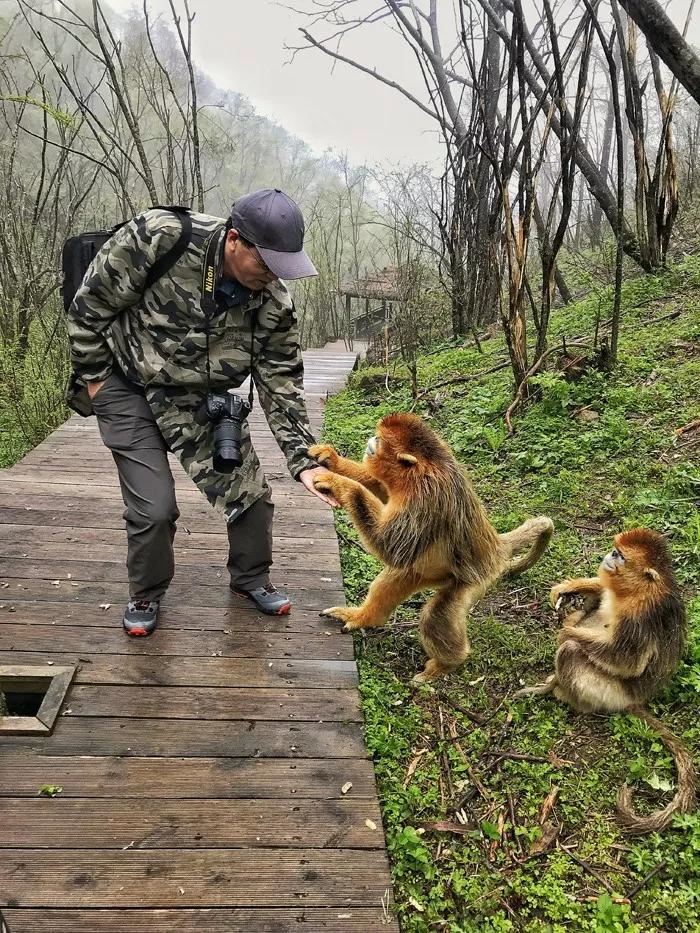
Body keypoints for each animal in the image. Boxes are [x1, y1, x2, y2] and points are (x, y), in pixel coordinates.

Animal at [308, 416, 556, 684]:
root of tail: (497, 548)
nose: (372, 439)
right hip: (429, 572)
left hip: (473, 581)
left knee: (434, 616)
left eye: (381, 440)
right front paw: (331, 459)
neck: (421, 472)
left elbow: (391, 547)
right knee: (402, 574)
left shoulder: (423, 500)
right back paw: (365, 617)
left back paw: (446, 665)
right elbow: (382, 489)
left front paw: (340, 484)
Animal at [516, 528, 692, 832]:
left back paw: (563, 690)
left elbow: (626, 662)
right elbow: (601, 590)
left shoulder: (639, 619)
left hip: (609, 692)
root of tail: (635, 700)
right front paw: (570, 587)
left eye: (620, 555)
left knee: (572, 653)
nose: (610, 555)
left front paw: (566, 631)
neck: (638, 592)